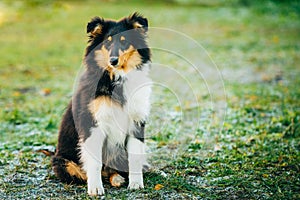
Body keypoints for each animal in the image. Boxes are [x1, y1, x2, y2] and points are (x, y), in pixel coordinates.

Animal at [51, 12, 152, 195]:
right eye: (107, 42)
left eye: (124, 41)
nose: (113, 61)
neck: (117, 78)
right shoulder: (93, 124)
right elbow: (94, 162)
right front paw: (96, 188)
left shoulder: (137, 121)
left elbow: (135, 157)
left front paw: (136, 184)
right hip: (64, 163)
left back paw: (118, 178)